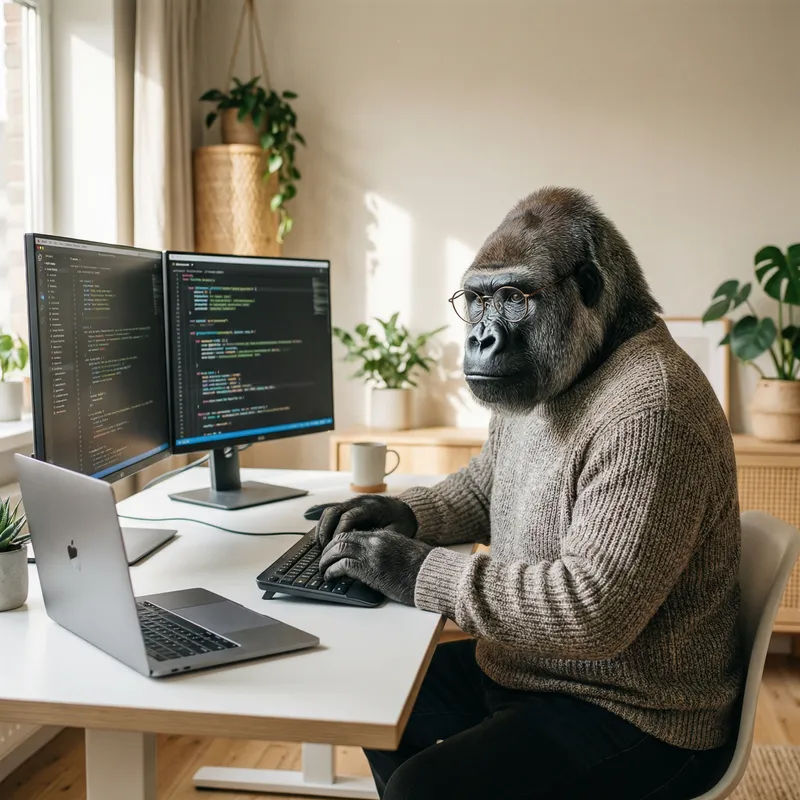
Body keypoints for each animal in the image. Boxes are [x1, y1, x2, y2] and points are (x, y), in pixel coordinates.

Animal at [316, 187, 742, 800]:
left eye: (513, 297)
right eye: (474, 300)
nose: (480, 336)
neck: (598, 358)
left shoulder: (653, 428)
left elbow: (593, 600)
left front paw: (388, 558)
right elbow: (479, 487)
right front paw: (375, 510)